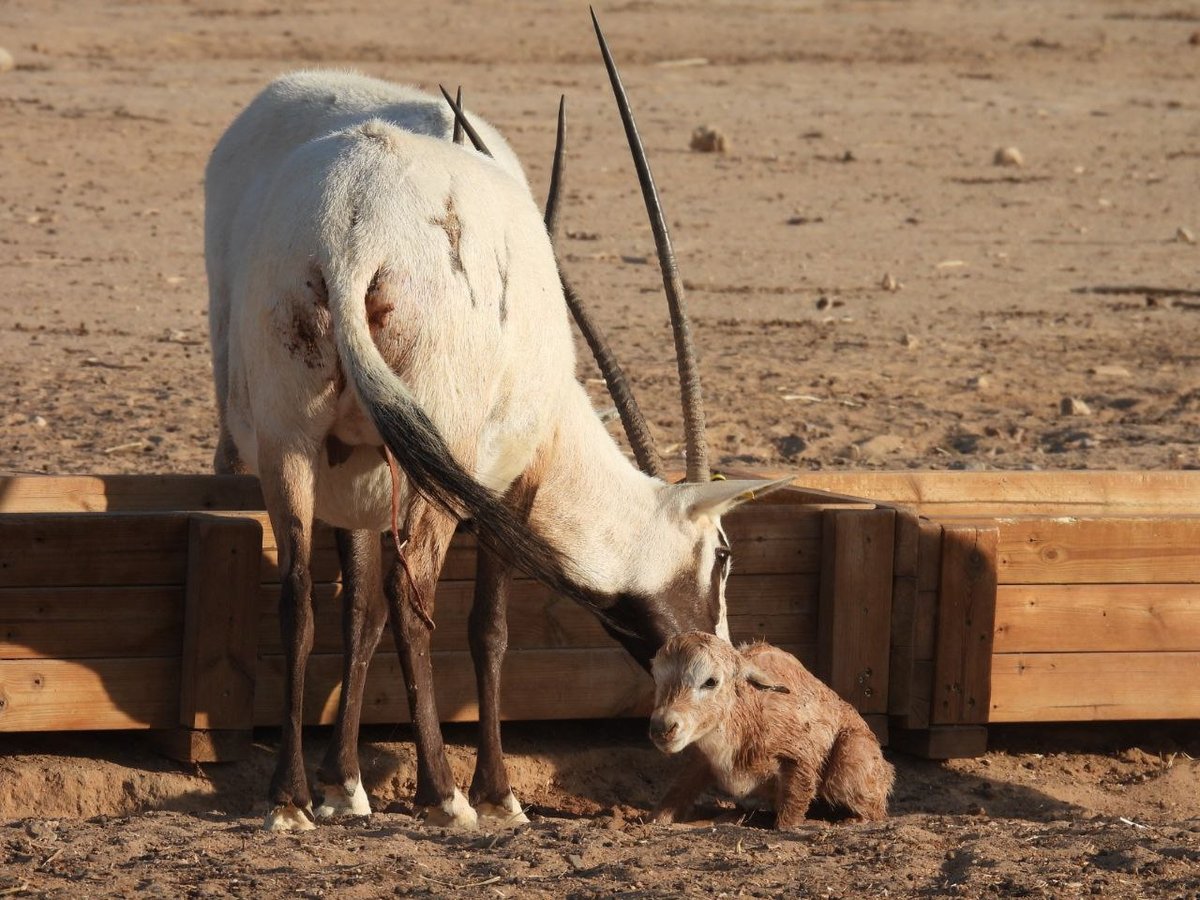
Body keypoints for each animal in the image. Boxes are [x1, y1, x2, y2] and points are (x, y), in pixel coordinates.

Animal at [648, 628, 892, 830]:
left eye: (710, 681)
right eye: (658, 680)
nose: (662, 727)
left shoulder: (801, 757)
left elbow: (787, 821)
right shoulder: (700, 761)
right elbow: (670, 801)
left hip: (850, 760)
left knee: (874, 813)